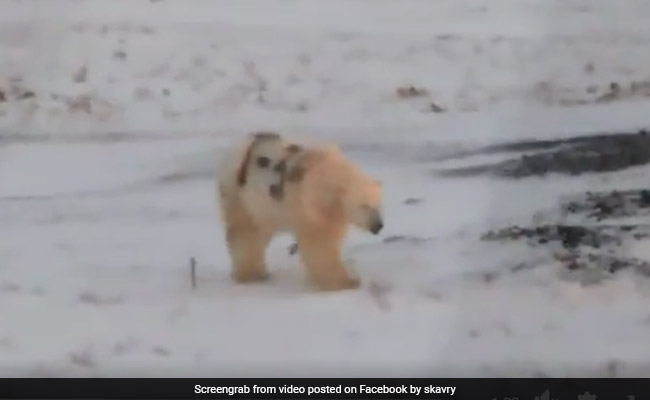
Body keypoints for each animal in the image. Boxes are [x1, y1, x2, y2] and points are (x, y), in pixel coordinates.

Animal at [216, 131, 384, 291]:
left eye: (378, 204)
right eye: (365, 205)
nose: (378, 226)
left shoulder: (332, 212)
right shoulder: (312, 207)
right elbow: (320, 245)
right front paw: (346, 282)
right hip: (240, 194)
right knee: (245, 232)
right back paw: (251, 275)